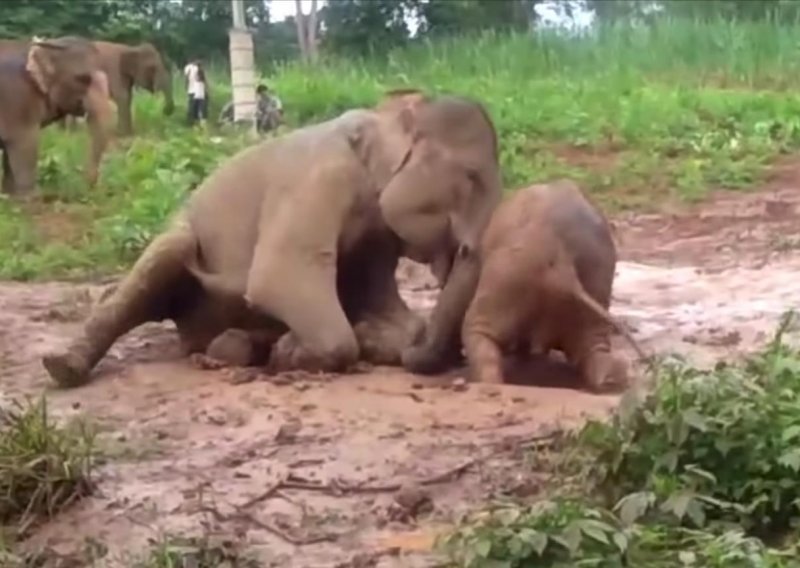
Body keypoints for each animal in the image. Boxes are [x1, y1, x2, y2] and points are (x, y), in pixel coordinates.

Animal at [0, 36, 115, 195]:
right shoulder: (17, 100)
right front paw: (27, 198)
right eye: (82, 78)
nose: (87, 186)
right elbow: (25, 146)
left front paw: (9, 196)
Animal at [42, 91, 500, 388]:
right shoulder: (317, 178)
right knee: (166, 258)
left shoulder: (376, 228)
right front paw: (290, 355)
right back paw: (64, 367)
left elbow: (379, 300)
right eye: (471, 177)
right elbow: (278, 277)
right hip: (177, 249)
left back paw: (237, 347)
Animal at [462, 180, 644, 392]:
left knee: (478, 332)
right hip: (598, 278)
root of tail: (562, 263)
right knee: (593, 347)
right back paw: (613, 380)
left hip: (507, 275)